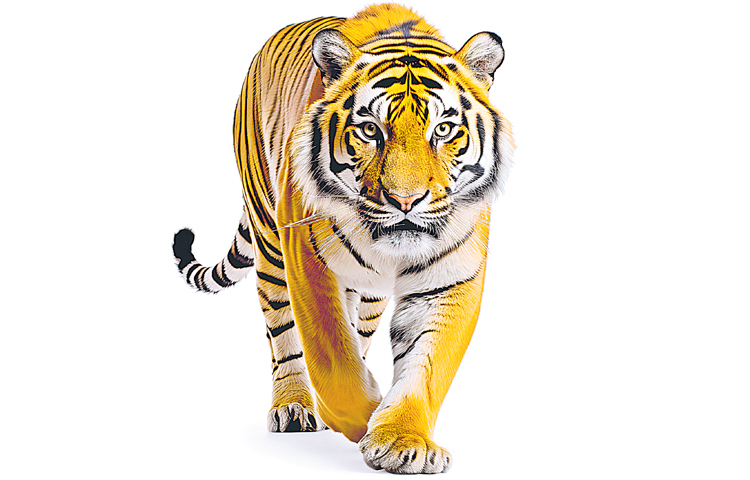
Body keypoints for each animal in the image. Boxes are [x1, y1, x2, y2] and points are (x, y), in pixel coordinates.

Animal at [172, 3, 514, 474]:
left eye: (443, 130)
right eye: (370, 130)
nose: (405, 201)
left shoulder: (450, 278)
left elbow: (428, 365)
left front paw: (402, 439)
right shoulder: (307, 261)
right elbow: (332, 358)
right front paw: (362, 418)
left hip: (369, 294)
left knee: (361, 329)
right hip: (270, 245)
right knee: (284, 337)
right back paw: (294, 406)